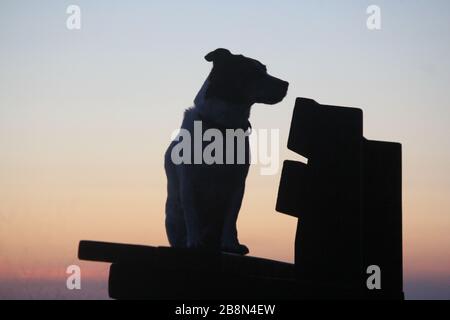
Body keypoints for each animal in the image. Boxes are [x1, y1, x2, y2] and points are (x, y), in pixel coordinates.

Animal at [165, 49, 288, 255]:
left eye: (265, 69)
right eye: (253, 72)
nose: (286, 84)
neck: (222, 126)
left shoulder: (237, 184)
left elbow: (231, 218)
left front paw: (230, 244)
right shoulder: (189, 181)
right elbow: (192, 215)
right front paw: (194, 242)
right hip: (173, 215)